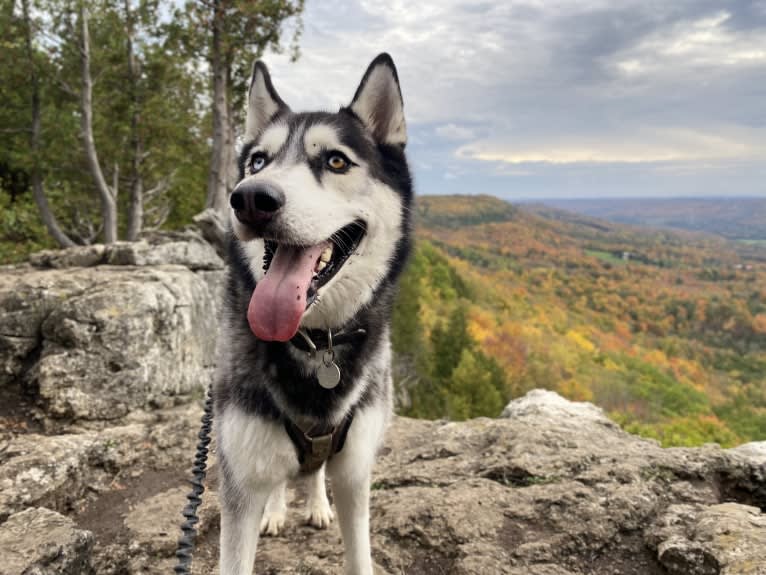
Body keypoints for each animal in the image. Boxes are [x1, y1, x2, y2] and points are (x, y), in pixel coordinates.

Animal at [210, 54, 414, 575]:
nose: (251, 198)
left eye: (336, 160)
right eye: (258, 161)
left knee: (314, 470)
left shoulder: (356, 473)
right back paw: (278, 509)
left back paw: (317, 503)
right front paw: (275, 509)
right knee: (283, 479)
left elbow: (359, 553)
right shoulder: (239, 484)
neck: (315, 342)